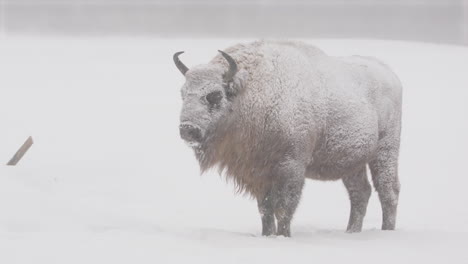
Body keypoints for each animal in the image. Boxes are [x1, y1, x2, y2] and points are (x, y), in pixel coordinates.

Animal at [174, 40, 400, 237]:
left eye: (215, 95)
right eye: (183, 93)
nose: (188, 129)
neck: (253, 92)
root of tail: (390, 74)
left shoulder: (291, 167)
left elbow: (284, 207)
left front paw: (284, 236)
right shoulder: (260, 172)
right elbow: (265, 209)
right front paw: (267, 235)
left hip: (385, 152)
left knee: (388, 190)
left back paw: (386, 231)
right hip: (352, 163)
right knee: (360, 192)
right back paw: (351, 231)